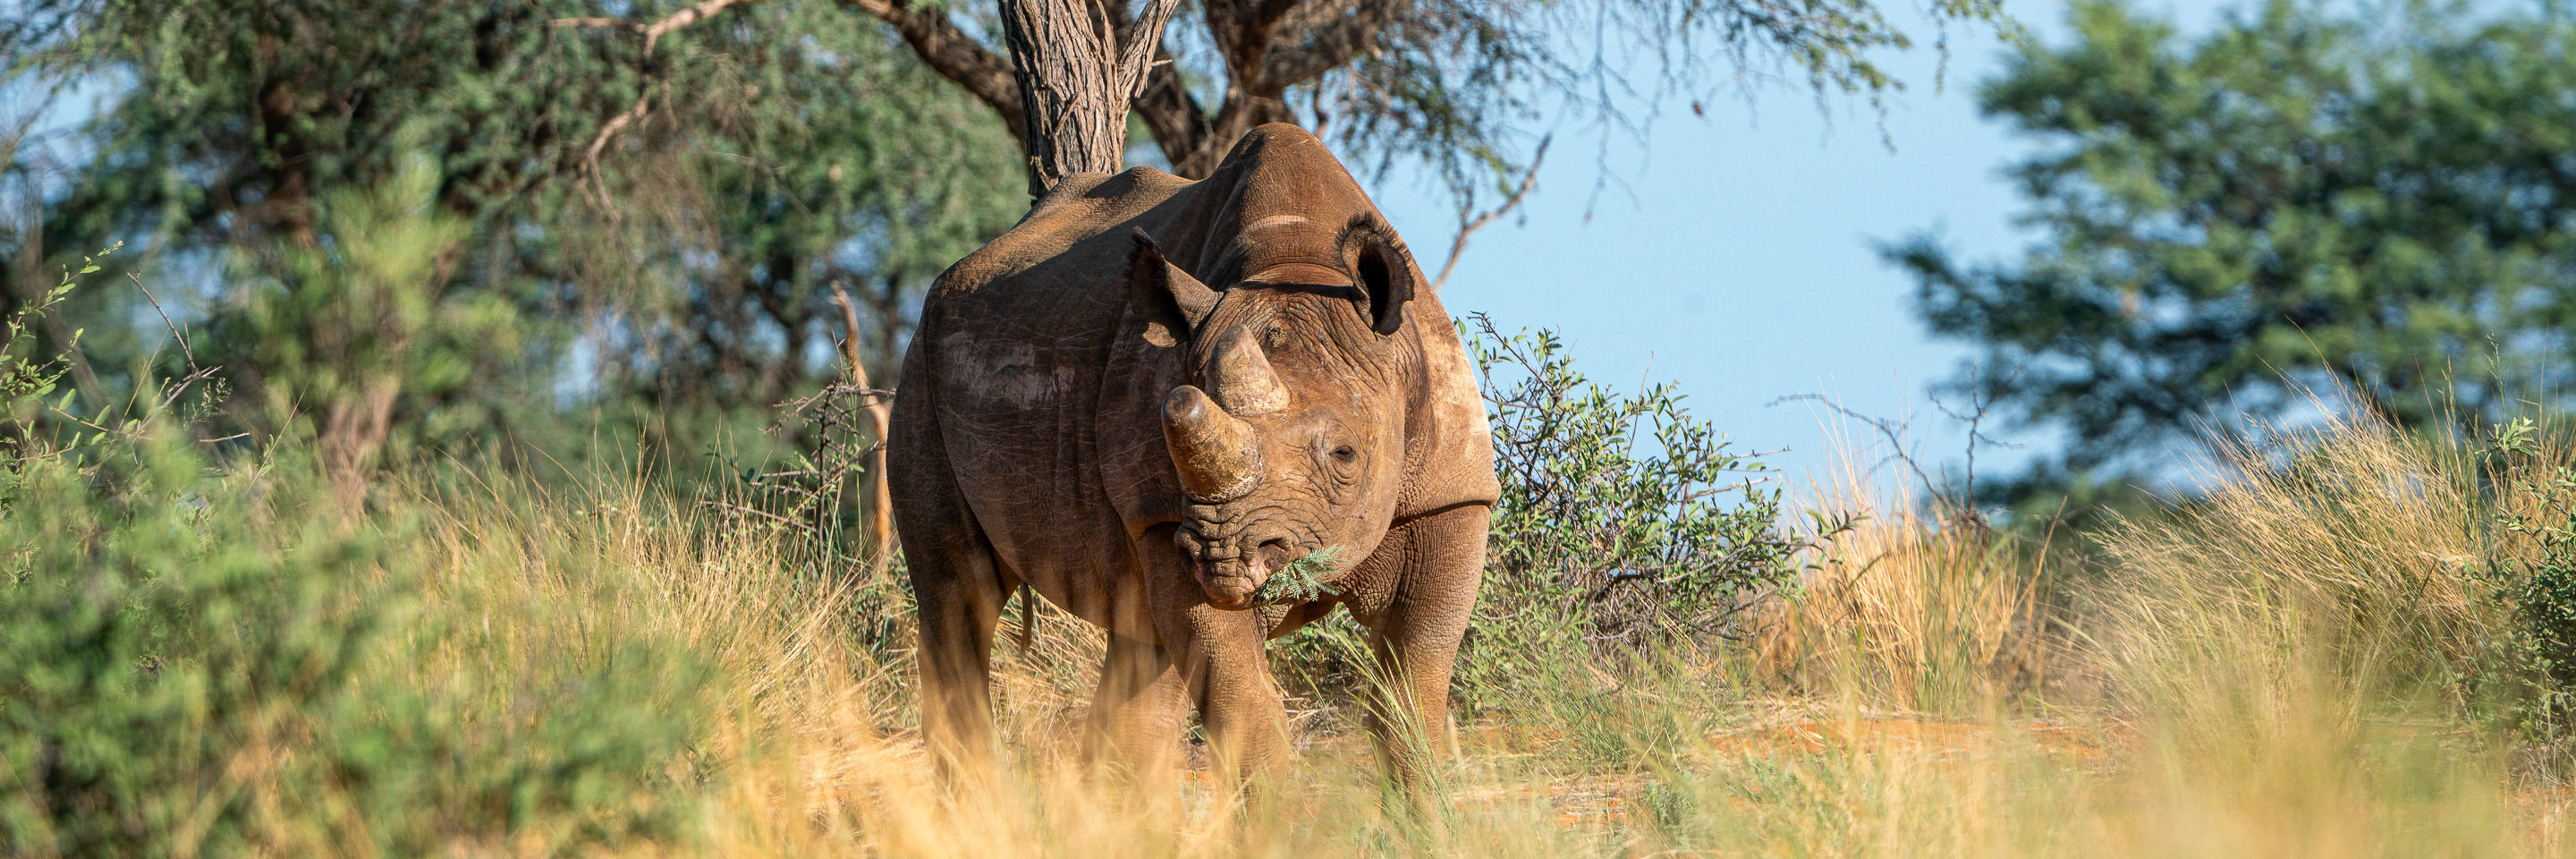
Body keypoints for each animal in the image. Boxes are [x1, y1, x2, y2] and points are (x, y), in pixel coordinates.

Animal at [887, 124, 1497, 788]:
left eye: (1345, 454)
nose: (1222, 557)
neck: (1297, 262)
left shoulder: (1452, 494)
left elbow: (1413, 688)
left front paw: (1427, 806)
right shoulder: (1163, 516)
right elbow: (1242, 701)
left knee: (1136, 650)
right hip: (922, 363)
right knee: (959, 595)